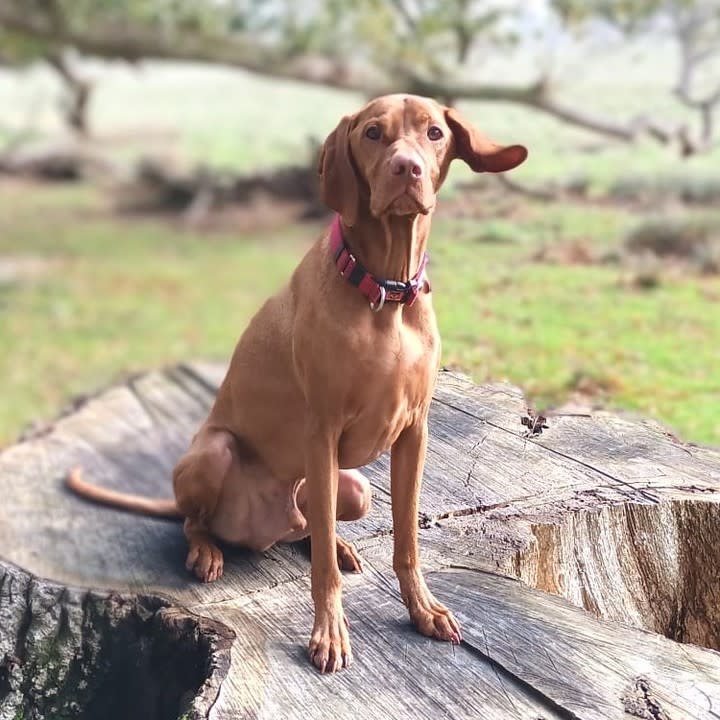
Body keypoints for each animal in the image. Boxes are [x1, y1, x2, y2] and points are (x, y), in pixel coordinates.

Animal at [69, 93, 528, 672]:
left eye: (434, 133)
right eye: (373, 133)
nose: (407, 168)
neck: (385, 292)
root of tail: (265, 530)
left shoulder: (413, 433)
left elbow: (406, 542)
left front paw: (423, 609)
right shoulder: (322, 431)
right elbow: (325, 575)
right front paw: (330, 634)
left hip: (353, 488)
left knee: (314, 530)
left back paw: (337, 546)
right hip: (215, 452)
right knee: (197, 522)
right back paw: (207, 551)